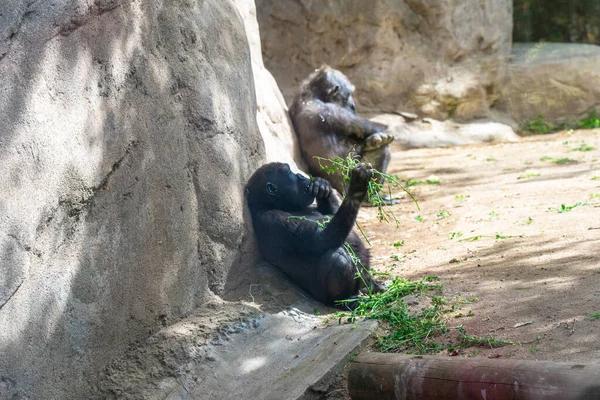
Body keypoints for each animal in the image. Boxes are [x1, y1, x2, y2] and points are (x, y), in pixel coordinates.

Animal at [245, 161, 382, 304]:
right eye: (290, 173)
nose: (300, 175)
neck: (270, 204)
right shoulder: (273, 219)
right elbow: (325, 239)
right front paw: (357, 187)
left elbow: (332, 214)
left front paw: (322, 186)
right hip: (324, 297)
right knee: (337, 256)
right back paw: (344, 300)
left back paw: (373, 286)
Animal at [290, 66, 394, 194]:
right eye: (347, 96)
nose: (353, 105)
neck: (313, 93)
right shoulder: (330, 109)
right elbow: (366, 129)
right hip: (347, 185)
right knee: (382, 150)